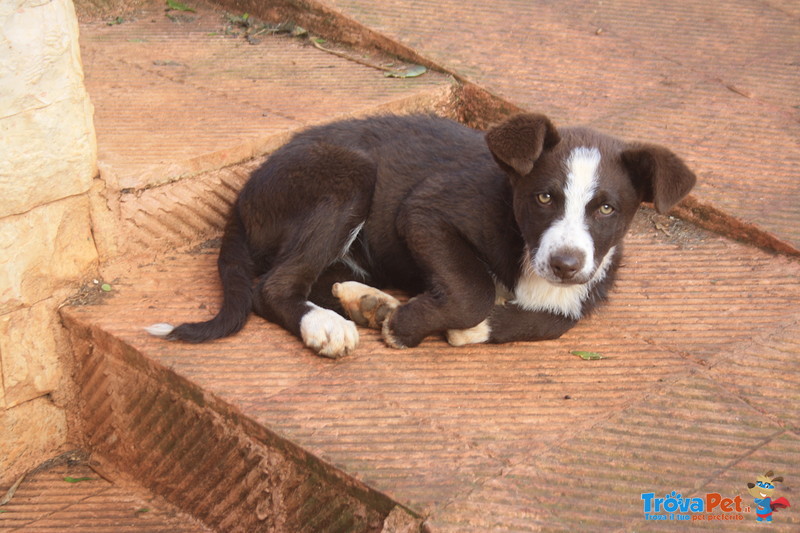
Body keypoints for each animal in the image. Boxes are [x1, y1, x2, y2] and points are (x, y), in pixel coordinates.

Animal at [147, 112, 696, 358]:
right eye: (544, 198)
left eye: (606, 209)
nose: (565, 264)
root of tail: (242, 197)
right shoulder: (426, 213)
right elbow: (474, 290)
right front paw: (407, 325)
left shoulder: (583, 287)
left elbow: (555, 320)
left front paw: (434, 321)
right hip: (347, 178)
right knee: (275, 285)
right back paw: (326, 324)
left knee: (318, 279)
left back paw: (364, 302)